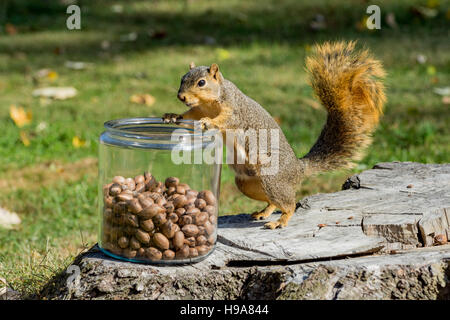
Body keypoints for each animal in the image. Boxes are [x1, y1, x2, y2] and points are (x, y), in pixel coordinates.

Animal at [163, 41, 384, 229]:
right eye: (182, 78)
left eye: (201, 82)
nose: (181, 96)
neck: (209, 104)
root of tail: (298, 169)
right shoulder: (196, 110)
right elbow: (188, 115)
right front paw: (172, 116)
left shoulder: (234, 112)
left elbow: (225, 120)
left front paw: (208, 122)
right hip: (247, 184)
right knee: (273, 201)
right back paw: (264, 212)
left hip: (272, 178)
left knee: (289, 204)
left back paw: (280, 221)